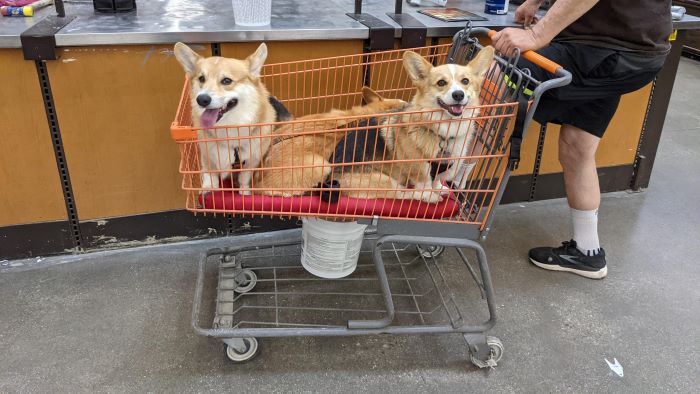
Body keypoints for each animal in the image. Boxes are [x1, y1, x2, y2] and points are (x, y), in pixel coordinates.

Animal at [176, 42, 294, 195]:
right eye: (201, 78)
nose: (201, 99)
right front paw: (208, 188)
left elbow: (245, 177)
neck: (229, 128)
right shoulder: (207, 155)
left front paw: (244, 191)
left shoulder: (251, 161)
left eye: (227, 81)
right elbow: (209, 173)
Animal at [336, 45, 494, 203]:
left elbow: (437, 181)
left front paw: (440, 188)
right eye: (441, 83)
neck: (445, 133)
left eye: (465, 81)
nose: (458, 95)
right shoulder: (420, 170)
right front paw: (430, 195)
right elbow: (426, 185)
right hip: (385, 180)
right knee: (402, 193)